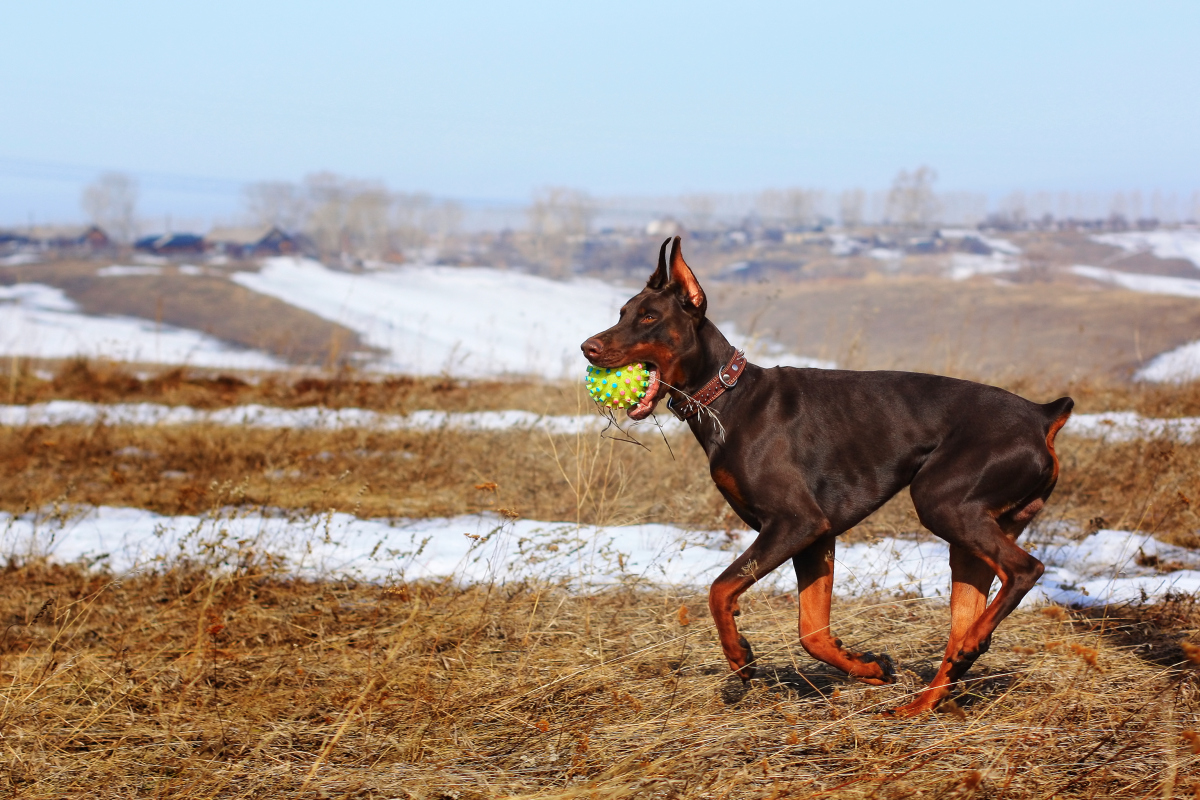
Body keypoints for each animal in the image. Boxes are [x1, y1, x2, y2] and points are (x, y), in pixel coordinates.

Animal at [576, 235, 1075, 714]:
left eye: (649, 317)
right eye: (622, 312)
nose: (588, 347)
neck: (729, 398)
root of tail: (1041, 414)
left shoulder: (796, 522)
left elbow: (720, 589)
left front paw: (740, 656)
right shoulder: (817, 539)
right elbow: (811, 631)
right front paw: (870, 667)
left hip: (942, 502)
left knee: (1026, 570)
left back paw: (968, 649)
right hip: (969, 539)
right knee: (963, 627)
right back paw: (920, 703)